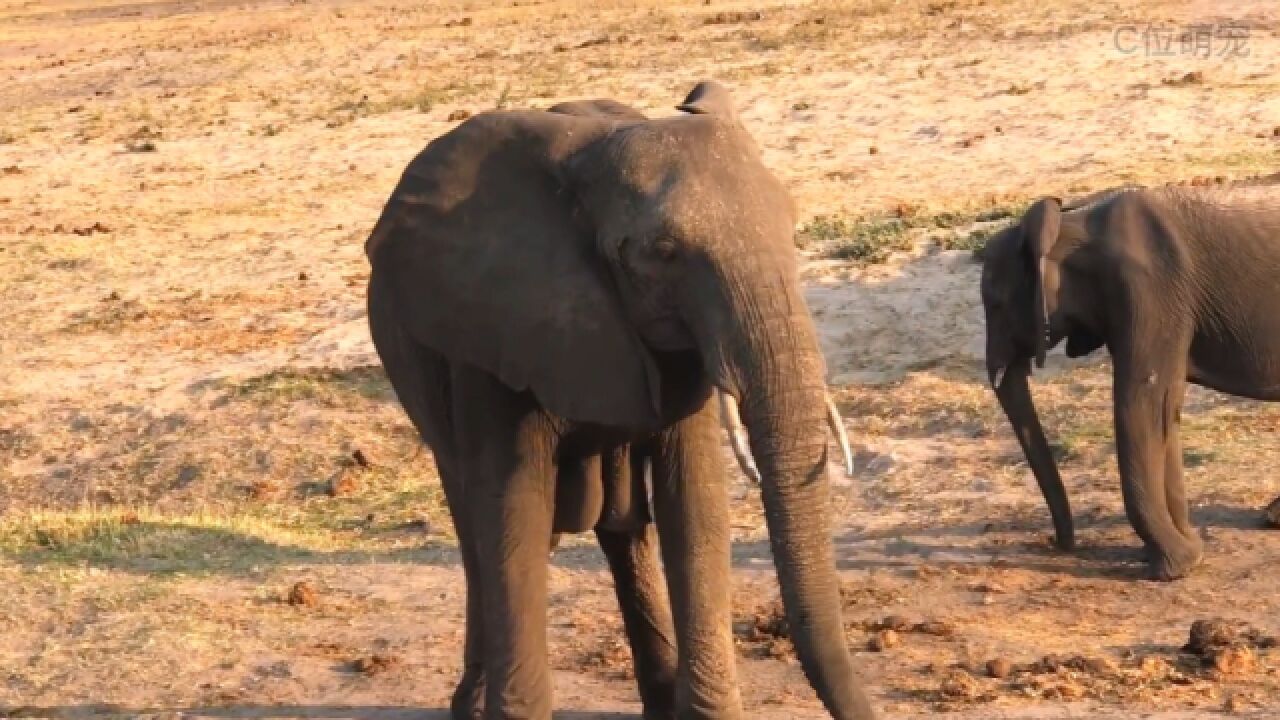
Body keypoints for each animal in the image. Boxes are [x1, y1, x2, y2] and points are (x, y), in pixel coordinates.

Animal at [366, 81, 875, 717]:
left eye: (793, 224)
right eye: (663, 252)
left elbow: (695, 509)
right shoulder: (491, 330)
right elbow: (514, 513)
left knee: (623, 524)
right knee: (473, 521)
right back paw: (471, 705)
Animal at [977, 183, 1280, 576]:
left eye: (996, 305)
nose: (1058, 544)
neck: (1070, 222)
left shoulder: (1150, 292)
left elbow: (1141, 403)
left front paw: (1177, 566)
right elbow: (1166, 408)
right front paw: (1189, 549)